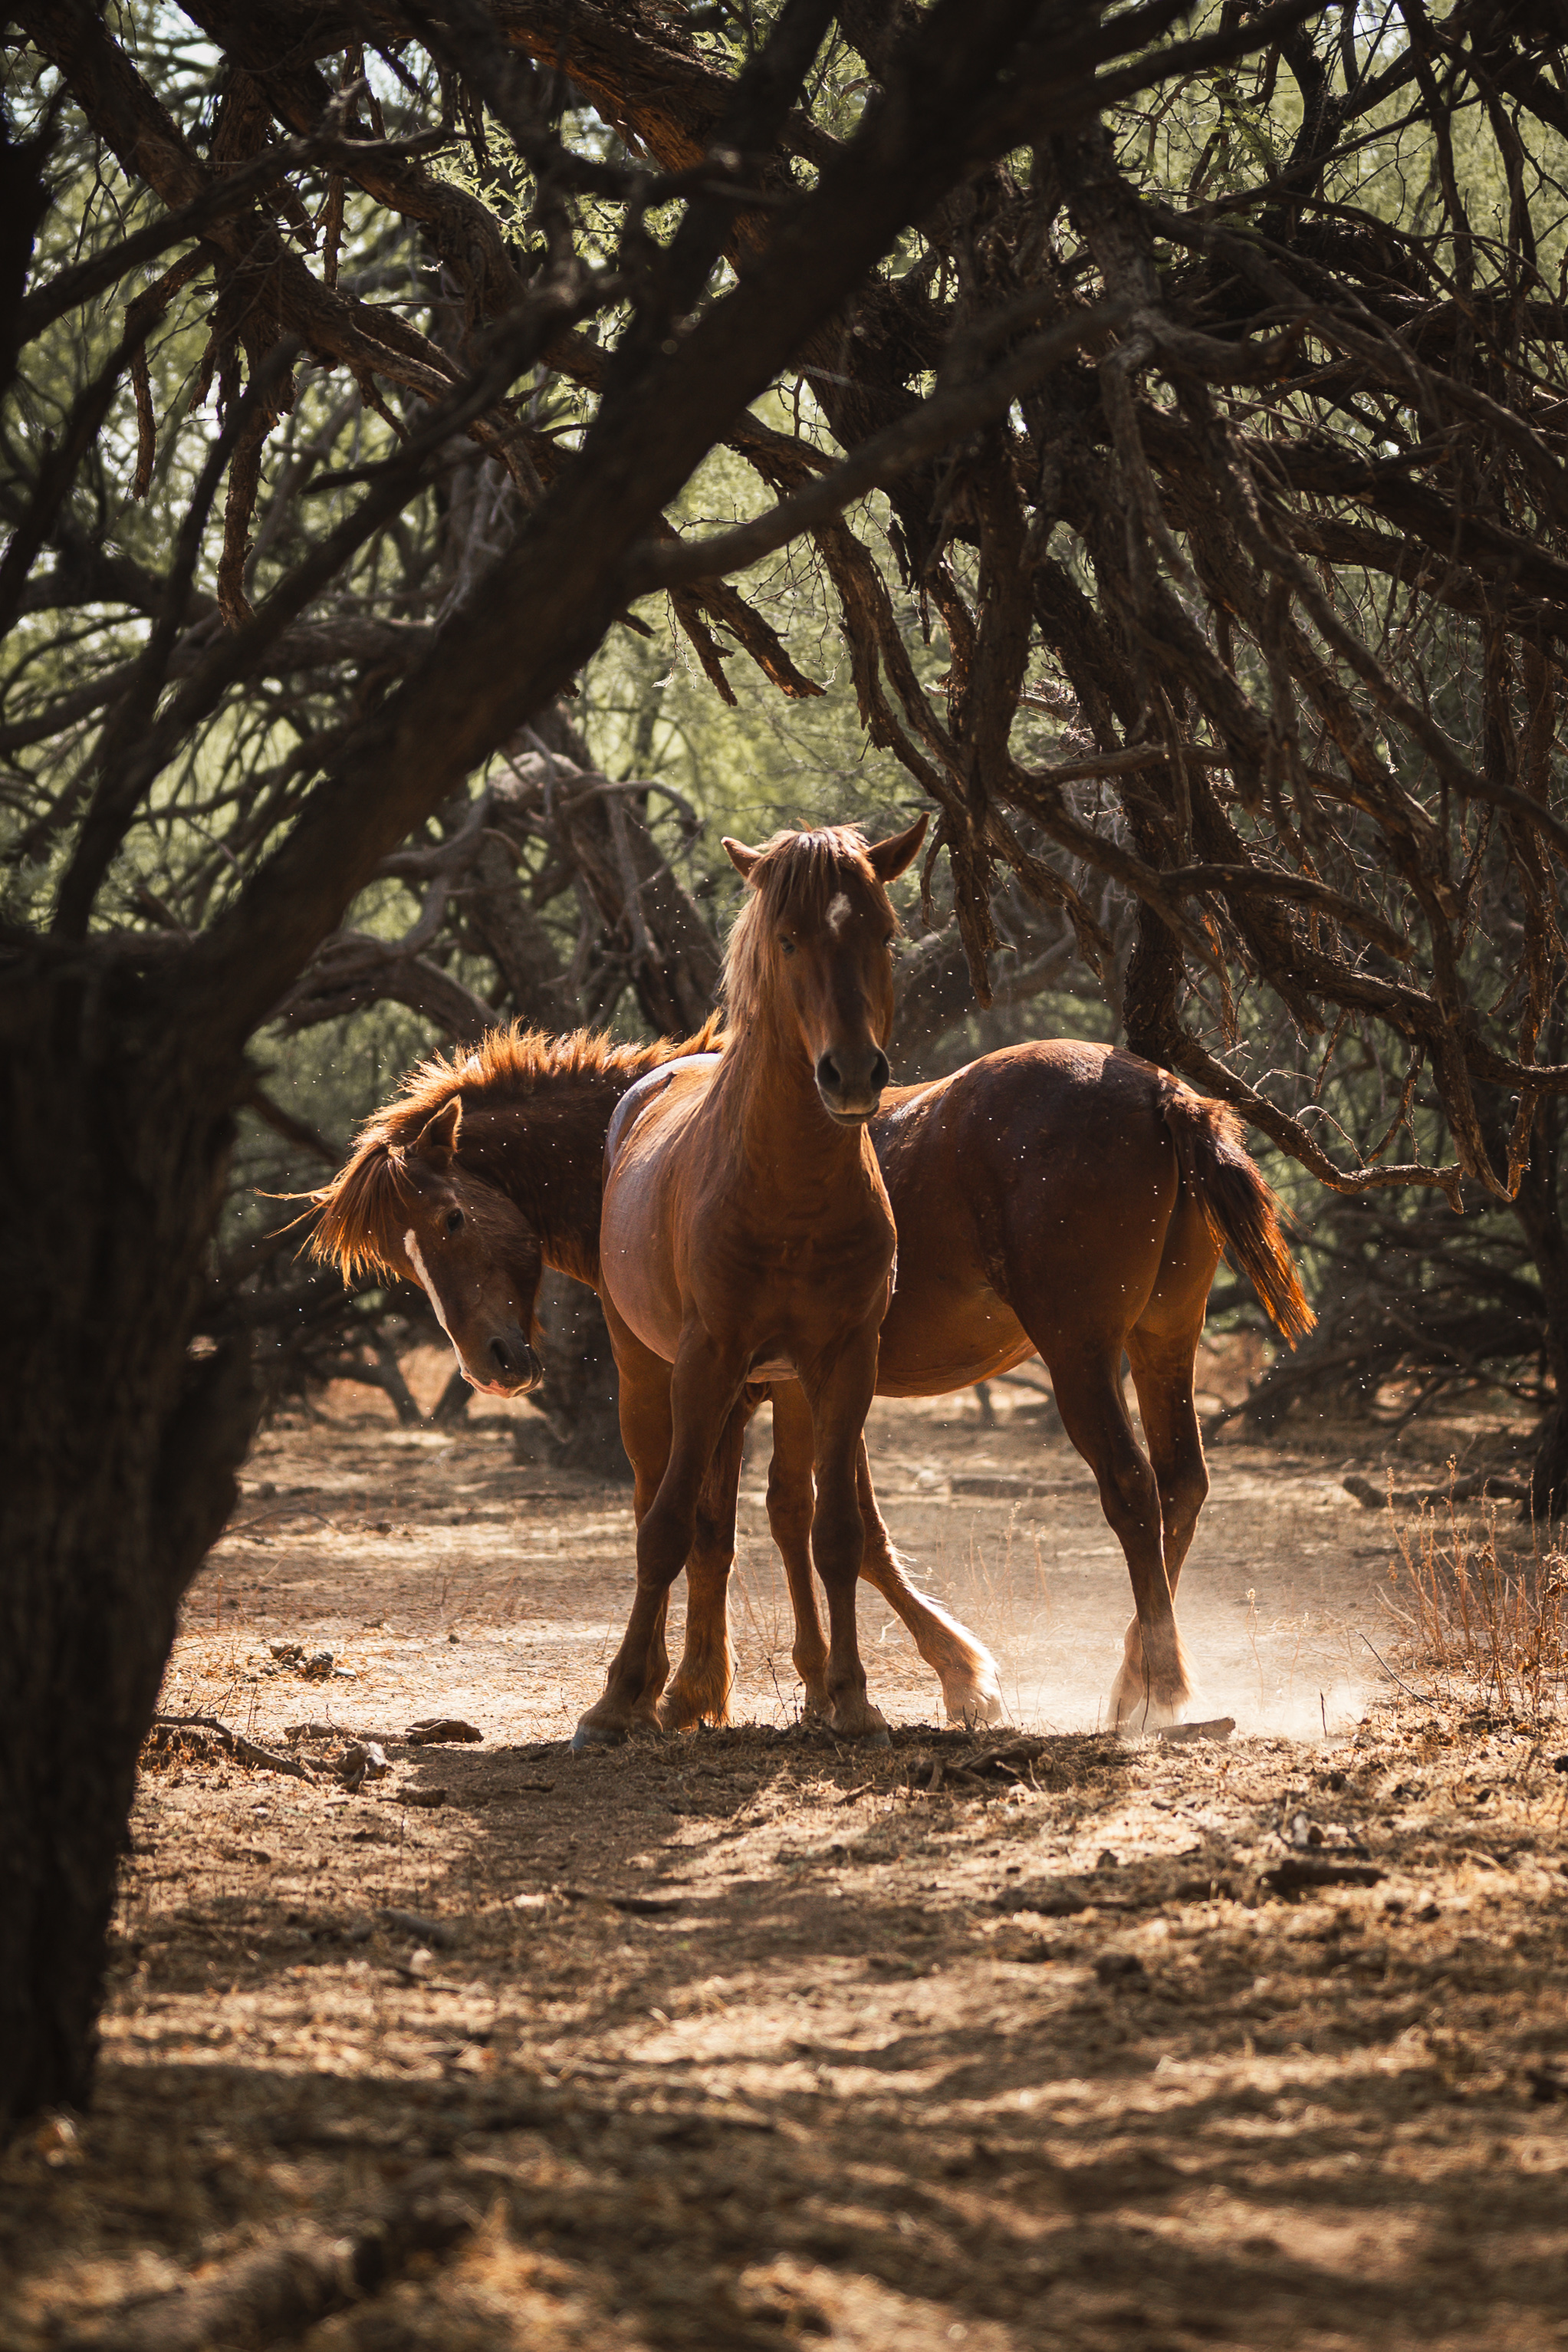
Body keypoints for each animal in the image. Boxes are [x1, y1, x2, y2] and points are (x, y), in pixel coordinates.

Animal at [312, 1016, 1310, 1735]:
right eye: (402, 1259)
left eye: (448, 1220)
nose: (492, 1366)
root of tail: (1160, 1091)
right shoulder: (785, 1387)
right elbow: (789, 1522)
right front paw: (778, 1685)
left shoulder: (720, 1382)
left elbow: (770, 1528)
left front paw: (933, 1678)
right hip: (1160, 1342)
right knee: (1180, 1484)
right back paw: (1134, 1675)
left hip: (1080, 1355)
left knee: (1133, 1491)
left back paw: (1158, 1689)